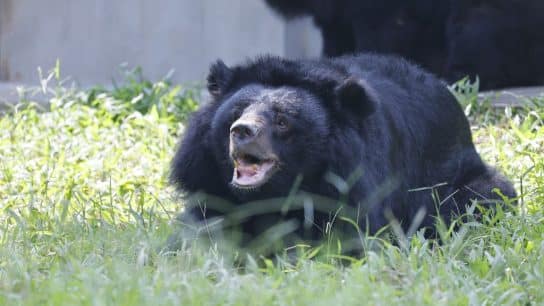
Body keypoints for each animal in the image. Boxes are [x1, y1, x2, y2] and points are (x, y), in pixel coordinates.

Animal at [170, 54, 516, 251]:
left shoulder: (355, 184)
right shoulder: (208, 180)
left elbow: (348, 237)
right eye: (237, 112)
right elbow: (204, 227)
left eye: (282, 121)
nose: (241, 131)